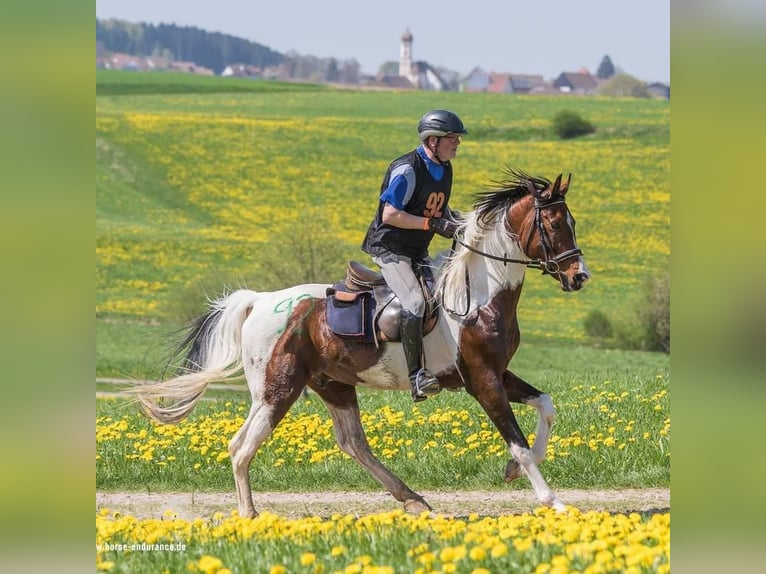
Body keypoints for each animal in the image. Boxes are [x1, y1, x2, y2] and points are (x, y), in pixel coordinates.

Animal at [131, 167, 590, 517]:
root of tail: (259, 301)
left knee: (351, 443)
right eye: (554, 225)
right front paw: (553, 500)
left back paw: (411, 497)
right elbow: (519, 442)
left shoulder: (496, 373)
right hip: (277, 390)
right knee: (241, 447)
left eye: (572, 223)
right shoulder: (482, 381)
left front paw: (512, 471)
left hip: (331, 384)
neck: (477, 295)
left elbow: (546, 406)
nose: (579, 276)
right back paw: (249, 514)